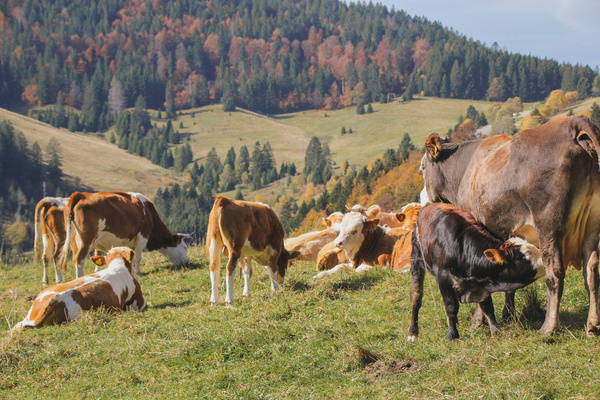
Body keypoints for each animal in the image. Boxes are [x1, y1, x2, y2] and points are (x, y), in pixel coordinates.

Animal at [57, 191, 189, 278]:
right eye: (185, 247)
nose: (188, 262)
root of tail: (80, 194)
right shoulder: (142, 236)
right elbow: (138, 256)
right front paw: (138, 271)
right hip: (86, 239)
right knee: (79, 259)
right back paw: (79, 278)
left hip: (74, 241)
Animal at [408, 204, 545, 341]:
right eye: (527, 253)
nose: (545, 258)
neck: (462, 248)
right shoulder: (443, 276)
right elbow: (451, 305)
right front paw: (452, 335)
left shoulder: (482, 282)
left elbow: (488, 307)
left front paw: (495, 331)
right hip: (417, 260)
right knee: (416, 296)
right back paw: (412, 332)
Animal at [420, 115, 600, 336]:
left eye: (422, 167)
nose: (422, 197)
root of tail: (571, 122)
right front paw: (509, 315)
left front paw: (478, 321)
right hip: (592, 223)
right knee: (591, 271)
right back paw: (592, 325)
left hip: (549, 224)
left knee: (555, 272)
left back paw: (548, 327)